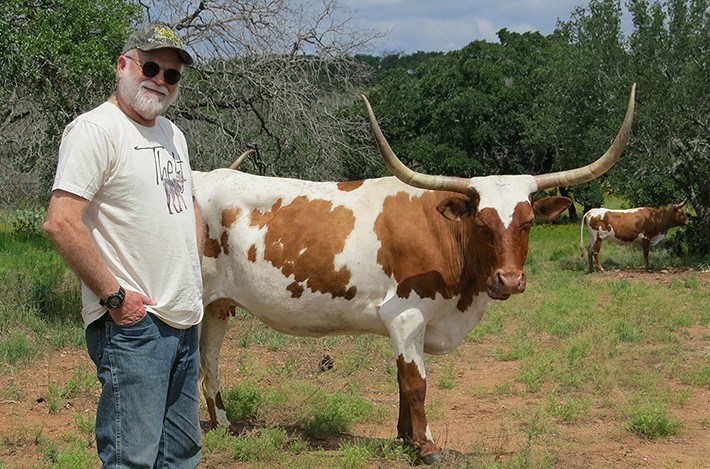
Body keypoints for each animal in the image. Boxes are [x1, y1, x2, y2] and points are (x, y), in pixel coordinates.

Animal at [196, 85, 640, 464]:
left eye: (528, 222)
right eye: (482, 223)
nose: (509, 281)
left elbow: (401, 380)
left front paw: (404, 437)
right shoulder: (406, 316)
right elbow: (416, 383)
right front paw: (426, 446)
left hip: (218, 306)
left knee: (209, 359)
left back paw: (224, 423)